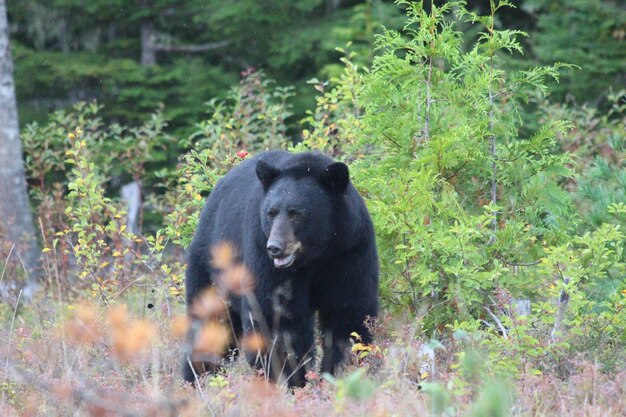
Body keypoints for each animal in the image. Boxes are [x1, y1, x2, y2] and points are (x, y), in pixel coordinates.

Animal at [180, 150, 376, 386]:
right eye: (271, 213)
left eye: (297, 213)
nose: (275, 247)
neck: (315, 257)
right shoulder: (263, 255)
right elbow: (276, 318)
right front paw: (289, 378)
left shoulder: (349, 251)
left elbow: (348, 311)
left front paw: (341, 372)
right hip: (213, 267)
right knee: (210, 324)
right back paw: (197, 376)